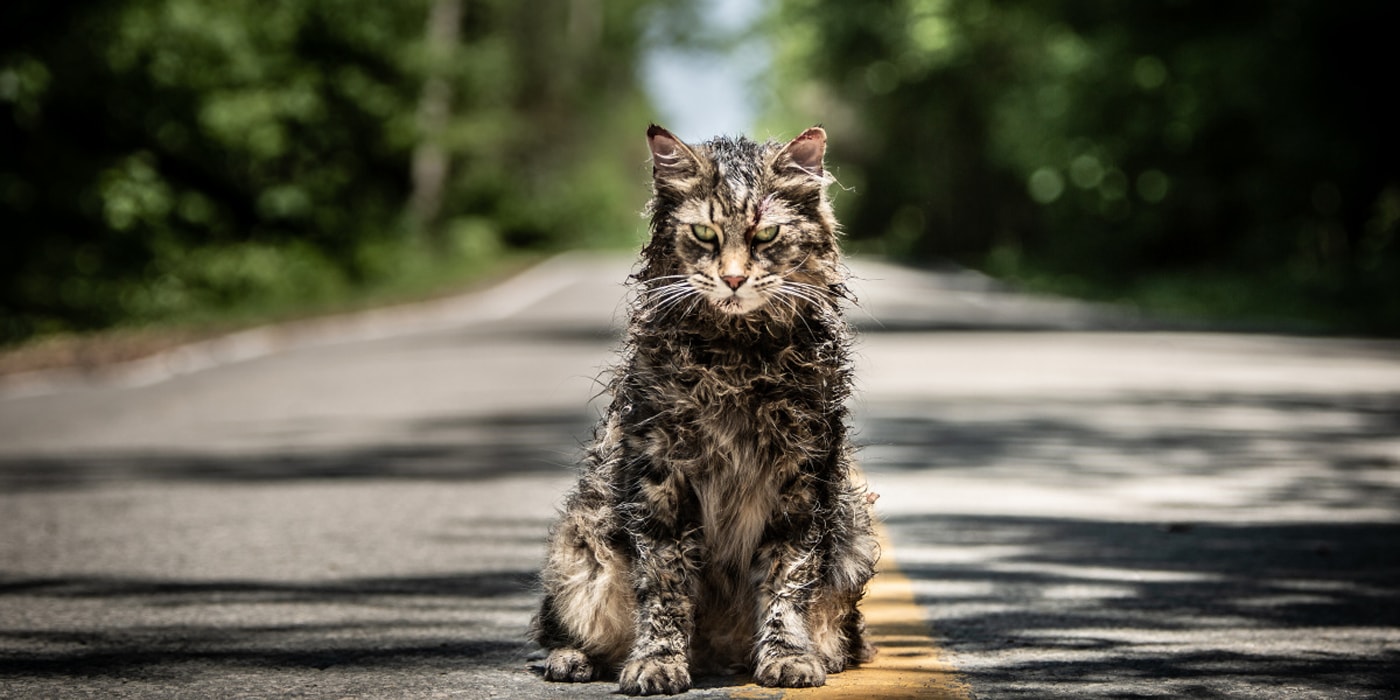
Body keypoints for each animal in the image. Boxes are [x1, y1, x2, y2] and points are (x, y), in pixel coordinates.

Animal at [532, 126, 873, 694]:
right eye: (704, 234)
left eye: (765, 236)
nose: (733, 280)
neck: (736, 359)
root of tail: (718, 655)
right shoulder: (660, 477)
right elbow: (665, 585)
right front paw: (658, 662)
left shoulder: (802, 479)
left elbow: (786, 579)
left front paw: (787, 655)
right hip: (579, 544)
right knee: (564, 628)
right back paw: (574, 659)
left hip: (854, 536)